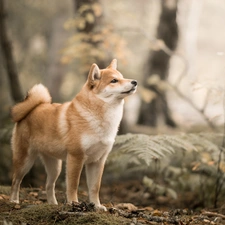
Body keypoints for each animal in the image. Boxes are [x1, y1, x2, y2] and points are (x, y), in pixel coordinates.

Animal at [10, 59, 137, 210]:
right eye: (114, 80)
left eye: (122, 77)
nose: (135, 82)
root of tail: (33, 109)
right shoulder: (76, 157)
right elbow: (73, 185)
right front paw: (74, 203)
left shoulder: (98, 161)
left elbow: (95, 187)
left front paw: (97, 206)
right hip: (25, 161)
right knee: (15, 181)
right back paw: (14, 201)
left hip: (55, 166)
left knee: (49, 185)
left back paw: (53, 204)